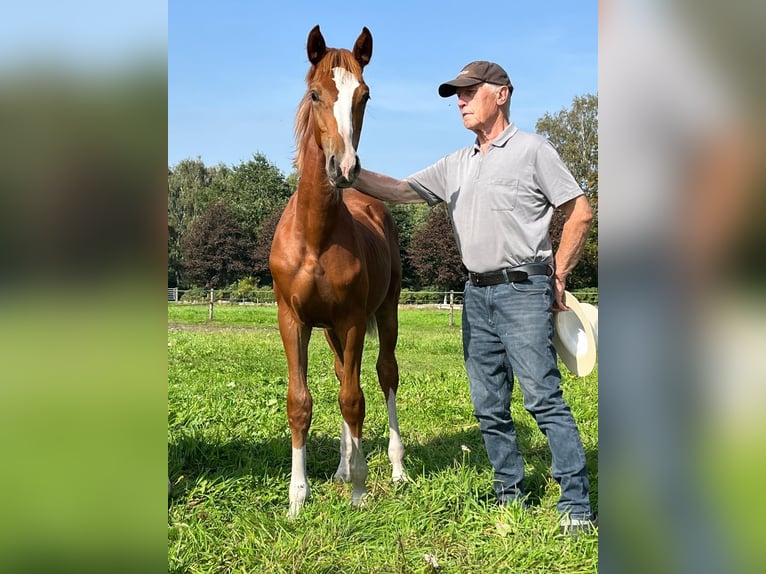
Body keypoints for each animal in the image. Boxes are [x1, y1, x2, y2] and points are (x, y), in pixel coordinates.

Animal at [272, 24, 412, 520]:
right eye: (315, 94)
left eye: (364, 96)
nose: (344, 167)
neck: (315, 235)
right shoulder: (293, 321)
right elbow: (301, 403)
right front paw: (297, 498)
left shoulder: (352, 321)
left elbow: (355, 400)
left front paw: (360, 490)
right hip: (330, 330)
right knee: (340, 376)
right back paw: (342, 465)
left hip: (384, 313)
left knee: (384, 376)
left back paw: (394, 469)